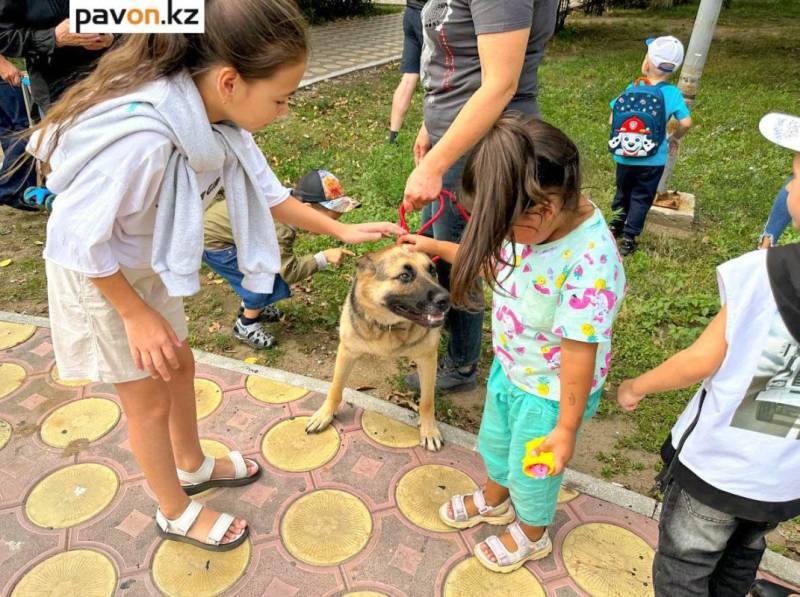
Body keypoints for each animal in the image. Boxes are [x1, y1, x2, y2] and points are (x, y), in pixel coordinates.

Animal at [306, 244, 450, 450]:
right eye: (405, 276)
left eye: (432, 270)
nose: (446, 299)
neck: (389, 326)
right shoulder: (347, 352)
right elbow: (335, 387)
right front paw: (324, 414)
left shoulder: (428, 360)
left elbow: (427, 401)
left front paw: (429, 430)